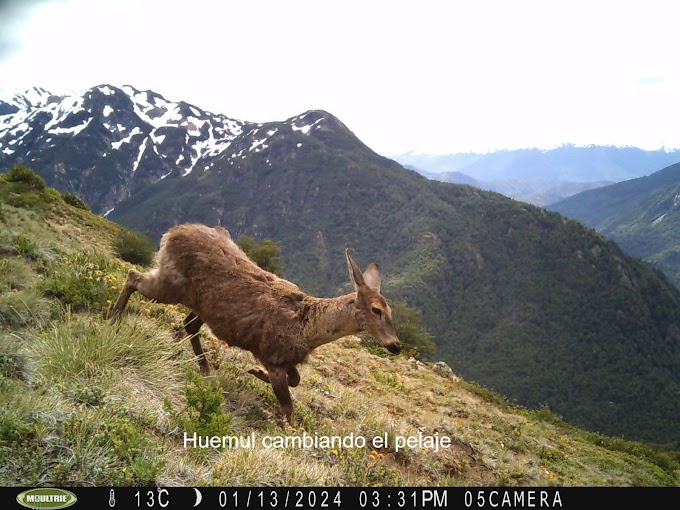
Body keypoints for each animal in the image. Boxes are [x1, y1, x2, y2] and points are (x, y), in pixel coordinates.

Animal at [109, 223, 402, 422]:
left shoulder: (283, 358)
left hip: (203, 306)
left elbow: (296, 379)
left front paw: (253, 372)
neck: (308, 329)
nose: (396, 345)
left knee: (188, 323)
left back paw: (204, 368)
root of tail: (171, 232)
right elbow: (288, 408)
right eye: (376, 309)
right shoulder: (273, 355)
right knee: (133, 275)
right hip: (170, 283)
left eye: (391, 311)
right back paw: (114, 318)